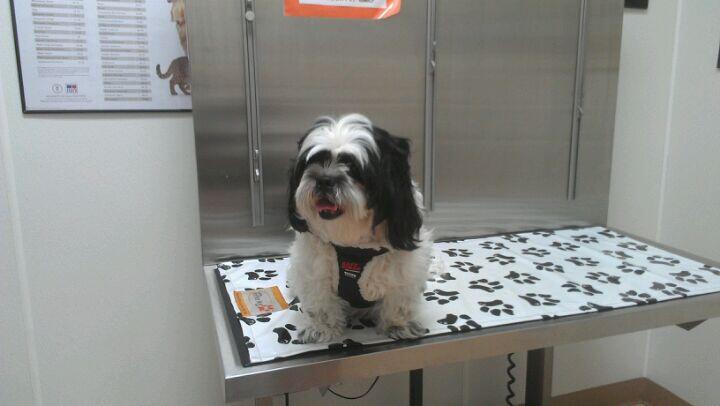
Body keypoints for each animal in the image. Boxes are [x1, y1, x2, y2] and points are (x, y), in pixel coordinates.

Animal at [287, 114, 432, 342]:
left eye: (354, 168)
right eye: (314, 162)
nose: (324, 179)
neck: (353, 243)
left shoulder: (404, 271)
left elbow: (398, 299)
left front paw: (397, 325)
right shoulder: (315, 269)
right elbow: (320, 301)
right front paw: (322, 328)